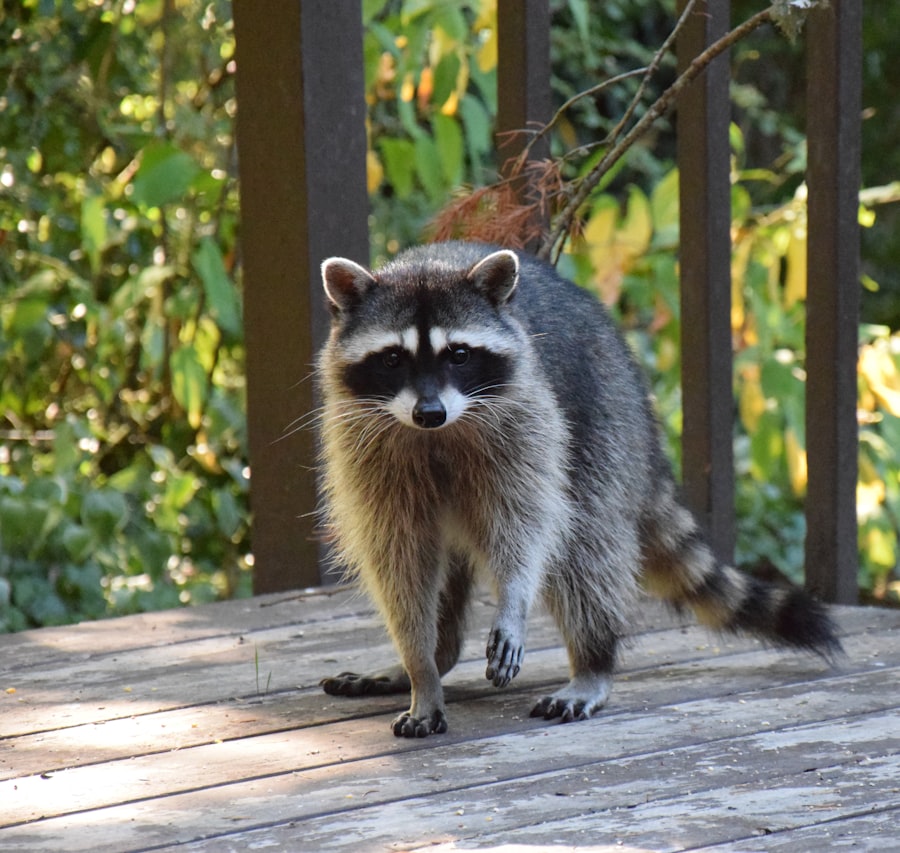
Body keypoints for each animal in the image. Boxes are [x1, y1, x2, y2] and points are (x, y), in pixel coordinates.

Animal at [316, 241, 840, 738]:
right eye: (392, 359)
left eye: (459, 355)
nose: (429, 413)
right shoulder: (366, 446)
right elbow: (398, 559)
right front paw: (420, 668)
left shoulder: (525, 419)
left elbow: (527, 525)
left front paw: (514, 599)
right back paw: (438, 655)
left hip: (601, 419)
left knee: (584, 548)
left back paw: (593, 661)